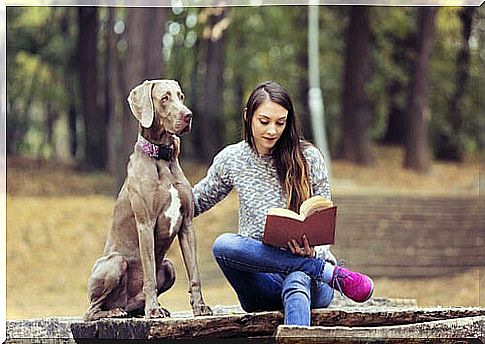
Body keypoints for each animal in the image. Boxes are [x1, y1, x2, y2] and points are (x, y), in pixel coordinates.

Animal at [83, 79, 212, 322]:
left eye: (181, 96)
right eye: (165, 98)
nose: (188, 115)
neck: (161, 158)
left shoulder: (187, 225)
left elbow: (195, 272)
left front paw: (200, 307)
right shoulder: (146, 225)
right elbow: (149, 274)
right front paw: (153, 310)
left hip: (169, 266)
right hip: (115, 262)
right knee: (91, 311)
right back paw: (116, 312)